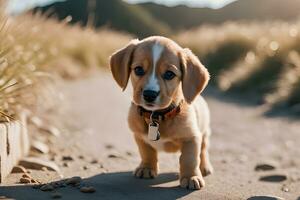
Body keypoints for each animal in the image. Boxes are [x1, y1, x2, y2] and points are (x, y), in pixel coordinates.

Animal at [109, 36, 212, 191]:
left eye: (169, 74)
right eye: (138, 70)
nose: (149, 94)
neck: (156, 116)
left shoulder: (192, 138)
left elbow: (189, 159)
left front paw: (191, 177)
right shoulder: (139, 136)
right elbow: (147, 152)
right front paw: (146, 168)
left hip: (205, 133)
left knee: (204, 150)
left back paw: (204, 167)